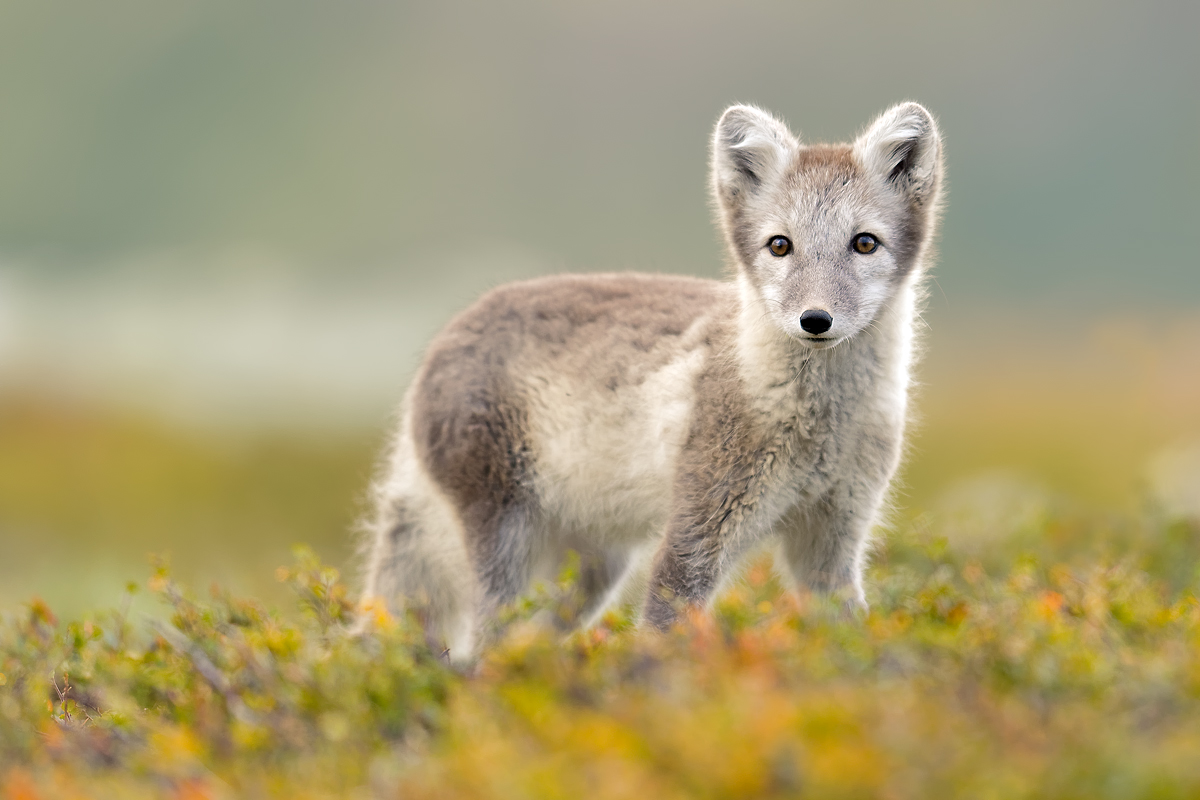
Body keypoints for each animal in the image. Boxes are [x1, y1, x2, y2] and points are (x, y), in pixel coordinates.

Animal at [360, 103, 940, 662]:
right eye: (780, 246)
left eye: (864, 243)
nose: (815, 320)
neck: (819, 424)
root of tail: (443, 338)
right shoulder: (695, 532)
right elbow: (665, 637)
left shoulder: (835, 537)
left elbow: (850, 628)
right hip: (506, 533)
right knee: (484, 642)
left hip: (591, 569)